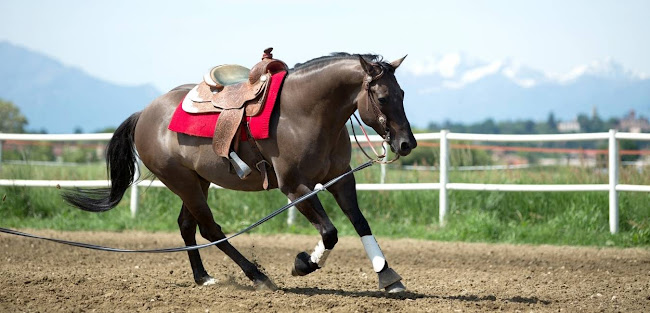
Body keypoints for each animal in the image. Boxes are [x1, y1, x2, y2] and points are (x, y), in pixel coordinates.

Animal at [60, 51, 416, 292]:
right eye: (382, 96)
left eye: (402, 94)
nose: (407, 143)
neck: (304, 112)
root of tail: (144, 114)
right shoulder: (295, 188)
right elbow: (330, 232)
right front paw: (304, 264)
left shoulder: (340, 178)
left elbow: (360, 222)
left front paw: (388, 276)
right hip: (182, 182)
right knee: (210, 230)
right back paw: (258, 276)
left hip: (197, 182)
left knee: (187, 226)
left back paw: (204, 277)